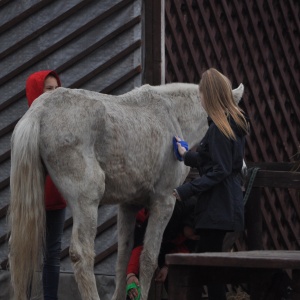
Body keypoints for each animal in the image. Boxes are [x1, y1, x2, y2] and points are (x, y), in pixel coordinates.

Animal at [8, 82, 245, 300]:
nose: (242, 168)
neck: (172, 116)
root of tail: (39, 111)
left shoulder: (128, 206)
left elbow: (123, 258)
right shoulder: (164, 201)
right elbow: (148, 258)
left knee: (17, 251)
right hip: (87, 202)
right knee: (82, 254)